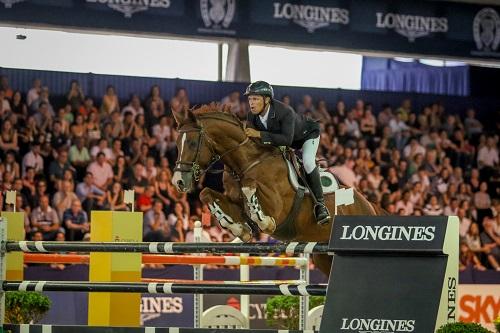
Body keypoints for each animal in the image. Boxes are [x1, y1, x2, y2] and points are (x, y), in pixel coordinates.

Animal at [170, 104, 384, 274]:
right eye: (177, 144)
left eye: (192, 143)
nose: (178, 182)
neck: (246, 162)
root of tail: (370, 205)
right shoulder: (234, 202)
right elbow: (207, 194)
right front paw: (238, 228)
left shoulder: (278, 207)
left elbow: (251, 190)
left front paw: (264, 222)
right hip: (324, 257)